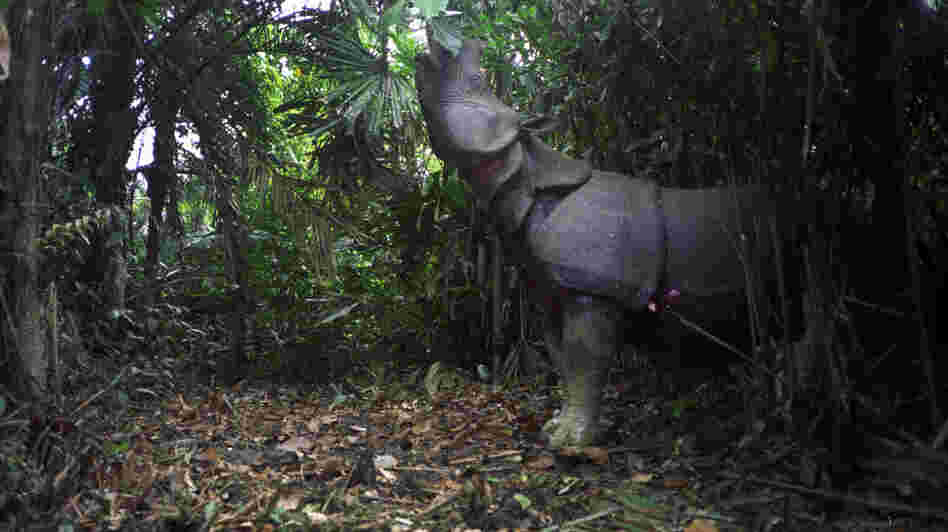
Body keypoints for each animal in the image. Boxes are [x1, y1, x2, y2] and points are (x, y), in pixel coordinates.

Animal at [416, 38, 791, 448]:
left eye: (476, 80)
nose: (429, 49)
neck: (524, 174)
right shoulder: (554, 289)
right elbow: (562, 358)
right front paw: (557, 428)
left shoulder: (592, 288)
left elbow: (584, 359)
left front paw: (573, 442)